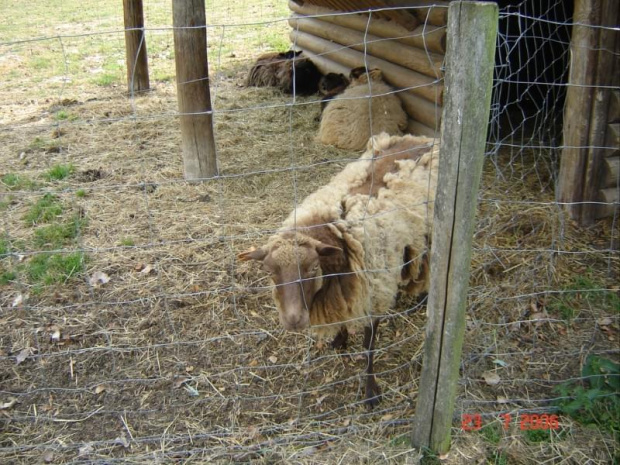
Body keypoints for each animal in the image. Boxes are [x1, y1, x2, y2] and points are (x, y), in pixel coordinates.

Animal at [240, 131, 438, 406]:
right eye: (270, 271)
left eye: (313, 268)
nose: (293, 320)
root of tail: (423, 137)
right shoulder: (345, 293)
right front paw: (340, 340)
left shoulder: (373, 296)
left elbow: (368, 348)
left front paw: (370, 391)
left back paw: (423, 299)